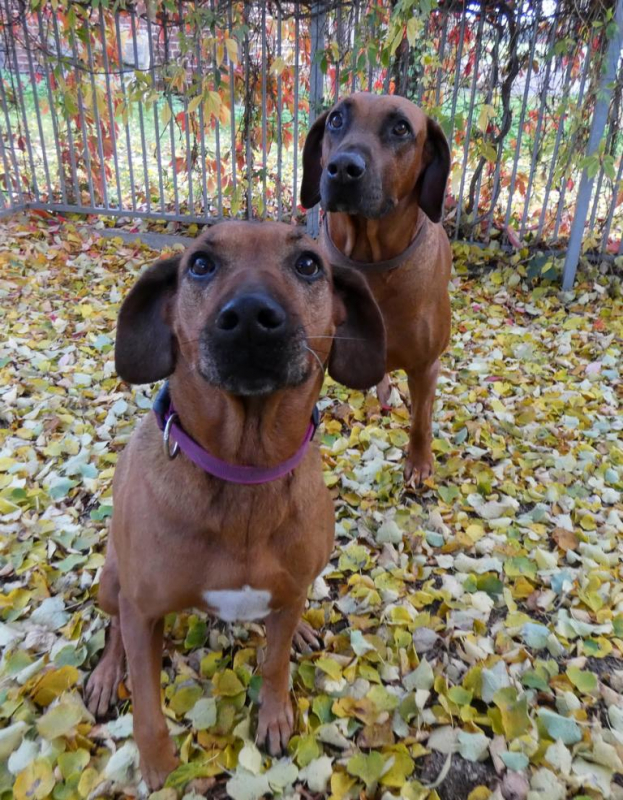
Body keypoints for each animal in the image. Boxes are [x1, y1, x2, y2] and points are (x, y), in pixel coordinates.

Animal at [84, 221, 385, 790]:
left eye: (309, 264)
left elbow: (274, 663)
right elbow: (147, 703)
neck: (246, 475)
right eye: (200, 264)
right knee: (114, 627)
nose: (249, 316)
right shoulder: (143, 609)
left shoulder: (286, 592)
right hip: (112, 580)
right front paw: (158, 766)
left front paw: (275, 714)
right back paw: (108, 672)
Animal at [301, 92, 451, 486]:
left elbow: (421, 421)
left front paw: (419, 463)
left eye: (401, 128)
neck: (370, 262)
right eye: (336, 119)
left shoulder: (426, 366)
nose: (342, 167)